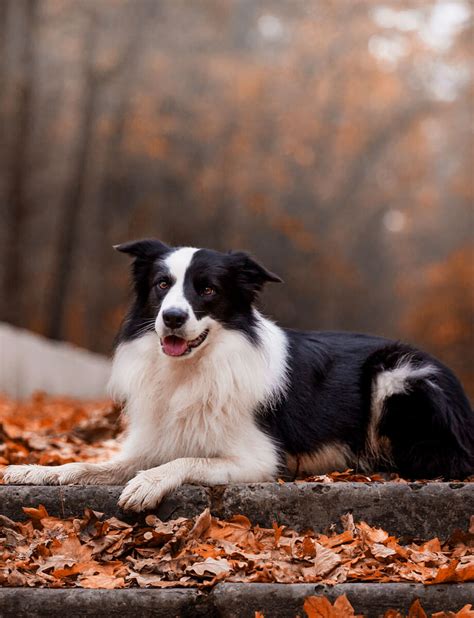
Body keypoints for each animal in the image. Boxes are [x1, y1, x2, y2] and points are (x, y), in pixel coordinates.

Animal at [4, 238, 474, 508]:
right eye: (161, 285)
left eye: (208, 289)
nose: (172, 318)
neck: (194, 367)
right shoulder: (155, 440)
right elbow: (87, 464)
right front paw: (34, 470)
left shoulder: (256, 459)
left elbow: (185, 460)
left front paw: (147, 484)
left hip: (397, 371)